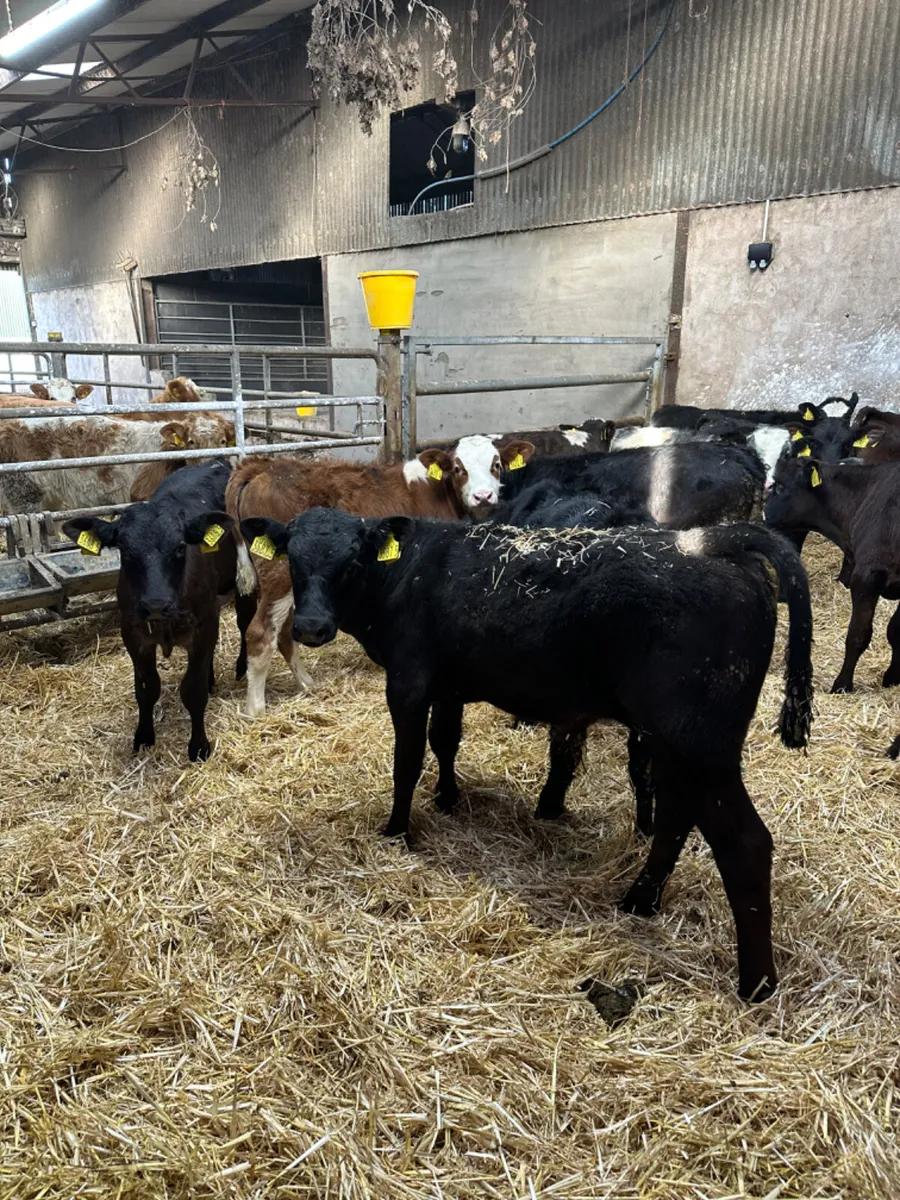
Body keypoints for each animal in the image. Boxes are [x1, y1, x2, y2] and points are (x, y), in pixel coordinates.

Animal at [62, 460, 256, 762]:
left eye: (180, 547)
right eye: (124, 549)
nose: (156, 604)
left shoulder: (204, 625)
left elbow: (192, 690)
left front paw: (198, 746)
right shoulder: (133, 633)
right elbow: (146, 688)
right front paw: (143, 736)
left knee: (245, 623)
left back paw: (242, 667)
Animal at [226, 434, 536, 717]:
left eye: (496, 465)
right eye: (459, 468)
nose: (483, 496)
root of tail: (261, 466)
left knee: (284, 633)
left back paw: (306, 684)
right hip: (279, 576)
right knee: (261, 633)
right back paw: (255, 710)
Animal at [240, 507, 813, 1001]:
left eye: (353, 561)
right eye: (294, 561)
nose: (311, 627)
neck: (408, 573)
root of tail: (708, 541)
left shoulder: (409, 681)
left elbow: (408, 760)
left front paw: (397, 830)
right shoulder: (449, 684)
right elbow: (445, 741)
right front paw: (448, 798)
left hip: (699, 747)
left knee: (744, 843)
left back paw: (757, 984)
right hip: (674, 743)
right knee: (676, 816)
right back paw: (640, 900)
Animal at [765, 453, 900, 693]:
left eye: (780, 486)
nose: (764, 510)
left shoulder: (866, 577)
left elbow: (858, 634)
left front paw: (842, 684)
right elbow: (894, 630)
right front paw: (893, 676)